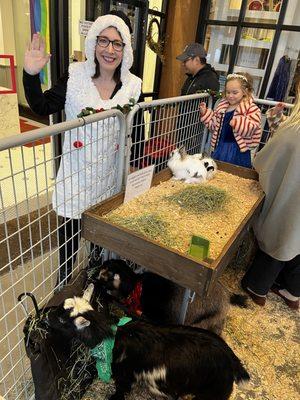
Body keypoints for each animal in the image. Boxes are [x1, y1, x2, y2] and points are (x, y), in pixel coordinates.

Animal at [47, 282, 250, 400]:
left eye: (63, 320)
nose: (46, 318)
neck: (114, 336)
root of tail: (232, 360)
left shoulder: (124, 374)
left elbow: (121, 390)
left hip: (213, 393)